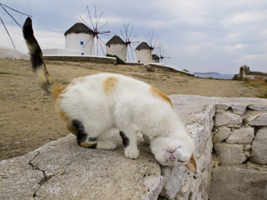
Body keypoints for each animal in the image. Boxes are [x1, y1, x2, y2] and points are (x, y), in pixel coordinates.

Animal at [23, 17, 198, 173]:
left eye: (178, 161)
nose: (173, 157)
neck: (165, 126)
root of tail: (63, 89)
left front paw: (147, 140)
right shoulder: (124, 111)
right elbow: (129, 136)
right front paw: (132, 150)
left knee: (72, 128)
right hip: (97, 121)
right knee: (82, 141)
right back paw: (106, 144)